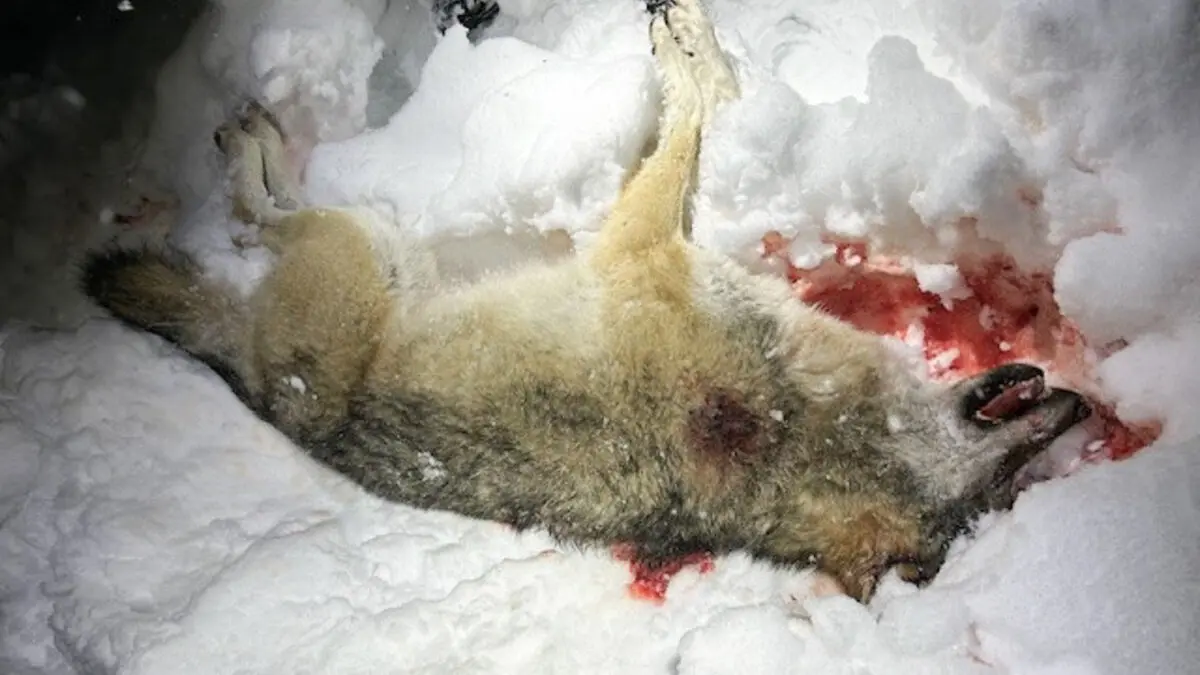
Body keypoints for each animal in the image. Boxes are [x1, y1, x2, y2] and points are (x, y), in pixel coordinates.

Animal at [80, 0, 1089, 602]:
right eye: (999, 483)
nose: (1077, 407)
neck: (797, 425)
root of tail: (260, 389)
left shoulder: (639, 245)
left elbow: (687, 114)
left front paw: (686, 39)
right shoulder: (649, 242)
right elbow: (698, 110)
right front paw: (694, 41)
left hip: (361, 253)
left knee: (261, 220)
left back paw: (246, 152)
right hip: (372, 252)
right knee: (256, 219)